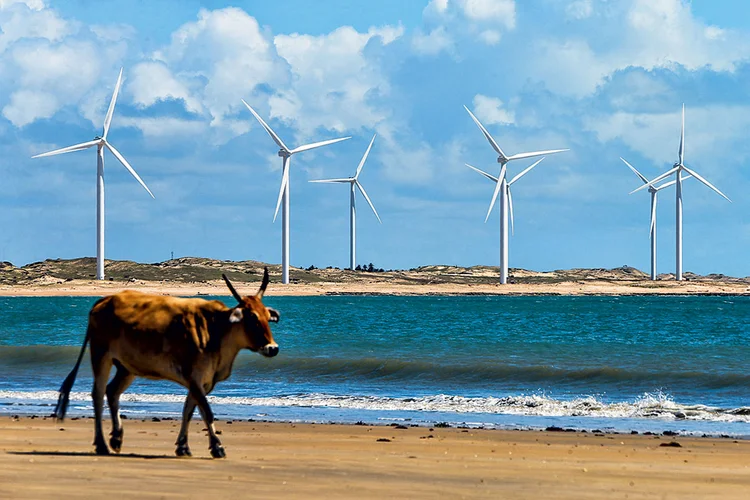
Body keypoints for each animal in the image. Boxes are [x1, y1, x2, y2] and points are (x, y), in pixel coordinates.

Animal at [53, 270, 280, 458]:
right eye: (252, 318)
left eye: (267, 317)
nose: (273, 348)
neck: (216, 330)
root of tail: (105, 300)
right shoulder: (193, 376)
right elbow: (206, 411)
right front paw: (217, 447)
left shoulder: (204, 381)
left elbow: (189, 410)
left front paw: (183, 446)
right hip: (101, 355)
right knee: (98, 394)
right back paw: (101, 444)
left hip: (126, 367)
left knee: (112, 391)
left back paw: (116, 438)